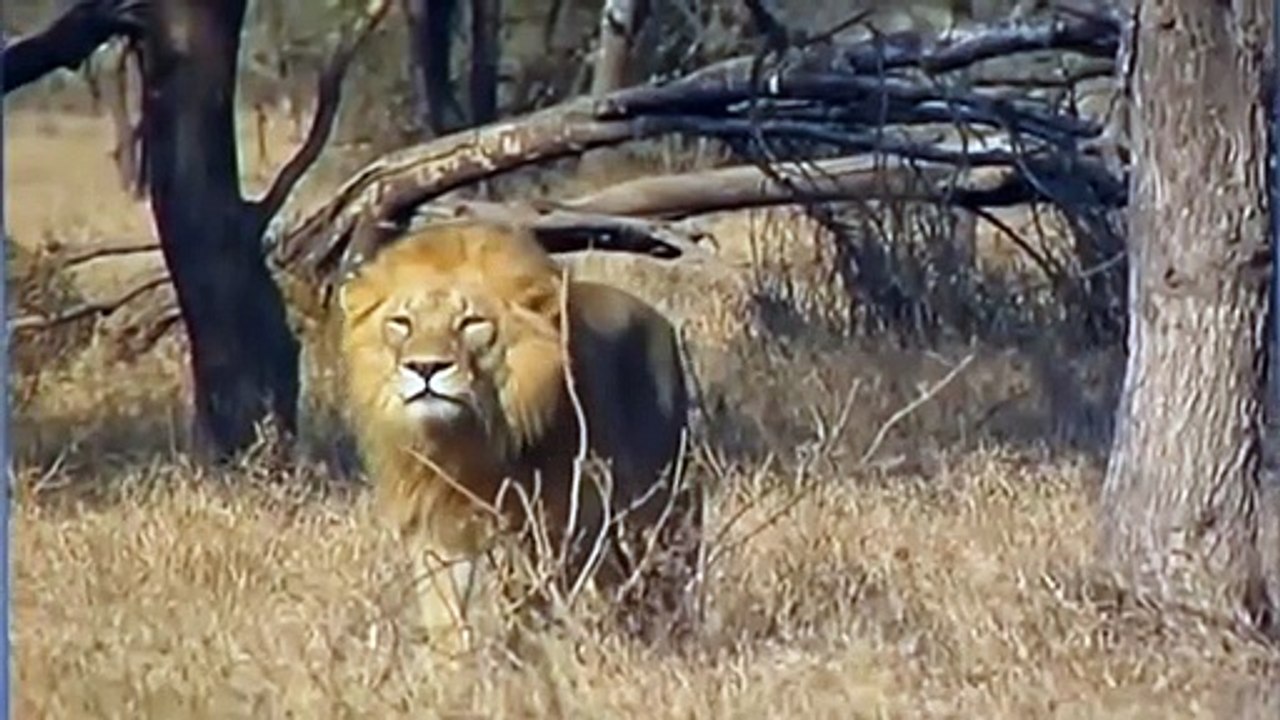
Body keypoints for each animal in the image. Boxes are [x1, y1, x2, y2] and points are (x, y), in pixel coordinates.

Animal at [337, 220, 703, 653]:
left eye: (471, 322)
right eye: (402, 323)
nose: (424, 367)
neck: (465, 442)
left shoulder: (547, 529)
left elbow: (528, 606)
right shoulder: (436, 530)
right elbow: (446, 613)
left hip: (659, 514)